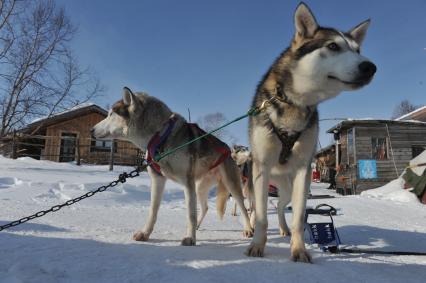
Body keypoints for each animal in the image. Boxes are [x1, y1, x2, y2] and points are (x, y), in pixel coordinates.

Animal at [92, 89, 253, 246]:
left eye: (111, 114)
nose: (91, 130)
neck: (160, 136)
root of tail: (228, 150)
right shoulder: (158, 179)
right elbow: (153, 211)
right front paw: (145, 233)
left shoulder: (187, 183)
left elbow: (190, 214)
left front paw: (190, 238)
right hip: (200, 187)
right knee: (205, 207)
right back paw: (198, 226)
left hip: (231, 185)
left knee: (244, 208)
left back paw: (248, 229)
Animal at [246, 2, 376, 264]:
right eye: (333, 46)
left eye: (358, 50)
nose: (370, 66)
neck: (295, 103)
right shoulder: (262, 167)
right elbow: (263, 217)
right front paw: (257, 245)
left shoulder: (302, 171)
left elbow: (298, 218)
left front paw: (299, 250)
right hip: (259, 182)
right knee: (257, 208)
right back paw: (252, 227)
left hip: (288, 188)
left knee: (281, 208)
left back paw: (283, 228)